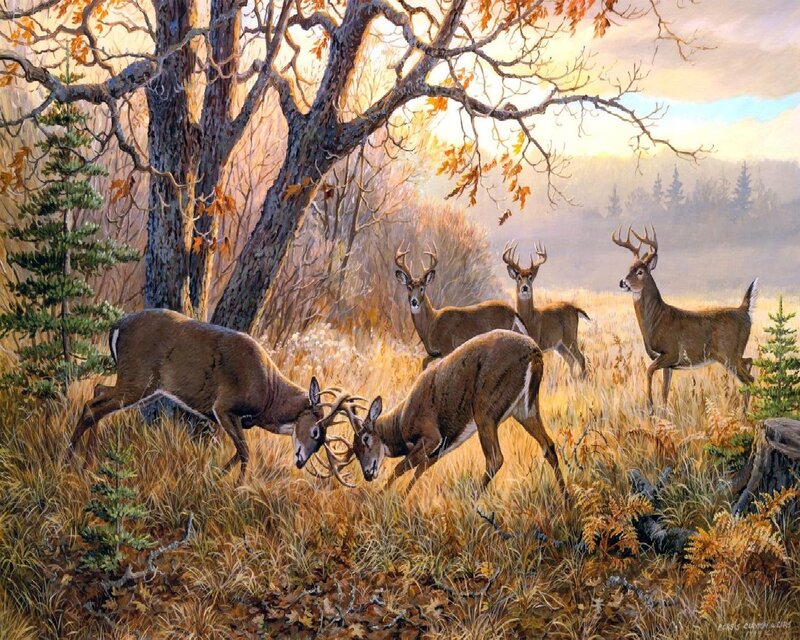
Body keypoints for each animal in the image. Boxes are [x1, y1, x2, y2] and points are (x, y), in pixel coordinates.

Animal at [66, 309, 359, 484]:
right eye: (316, 432)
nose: (300, 462)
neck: (269, 397)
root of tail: (117, 326)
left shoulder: (235, 419)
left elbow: (239, 451)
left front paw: (216, 477)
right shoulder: (224, 406)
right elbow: (245, 451)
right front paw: (237, 487)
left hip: (140, 385)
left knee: (98, 392)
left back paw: (88, 460)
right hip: (138, 379)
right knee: (93, 406)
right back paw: (71, 459)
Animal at [334, 329, 566, 496]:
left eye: (365, 438)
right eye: (354, 450)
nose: (368, 473)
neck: (400, 422)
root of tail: (534, 352)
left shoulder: (431, 435)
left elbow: (401, 467)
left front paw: (382, 497)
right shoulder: (441, 448)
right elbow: (418, 470)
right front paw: (400, 498)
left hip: (485, 408)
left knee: (496, 458)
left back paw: (472, 499)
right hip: (525, 409)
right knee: (548, 446)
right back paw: (566, 500)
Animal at [394, 246, 526, 369]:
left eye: (422, 288)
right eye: (409, 287)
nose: (414, 301)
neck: (431, 324)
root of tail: (513, 312)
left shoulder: (447, 347)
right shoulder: (435, 353)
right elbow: (424, 362)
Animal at [502, 243, 590, 378]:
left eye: (531, 277)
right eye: (519, 277)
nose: (525, 288)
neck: (529, 318)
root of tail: (575, 309)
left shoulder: (536, 342)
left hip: (570, 336)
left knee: (580, 358)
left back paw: (583, 380)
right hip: (560, 345)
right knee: (570, 360)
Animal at [612, 225, 757, 414]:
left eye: (640, 272)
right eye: (629, 268)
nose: (622, 282)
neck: (657, 319)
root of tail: (744, 310)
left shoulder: (671, 352)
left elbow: (649, 371)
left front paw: (650, 408)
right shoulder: (667, 364)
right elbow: (665, 391)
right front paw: (663, 413)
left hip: (728, 353)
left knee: (750, 379)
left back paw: (743, 414)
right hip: (735, 353)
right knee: (750, 362)